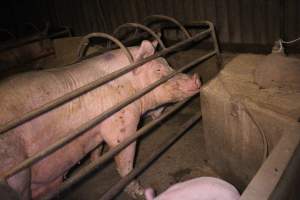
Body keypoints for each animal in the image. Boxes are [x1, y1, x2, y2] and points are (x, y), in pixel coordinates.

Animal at [0, 39, 202, 199]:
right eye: (158, 69)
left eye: (168, 64)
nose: (196, 78)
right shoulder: (121, 122)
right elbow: (125, 161)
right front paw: (138, 191)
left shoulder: (96, 129)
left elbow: (96, 149)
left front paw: (95, 164)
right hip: (15, 171)